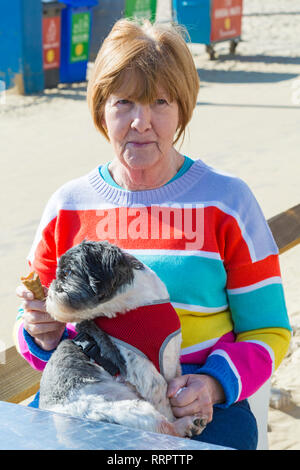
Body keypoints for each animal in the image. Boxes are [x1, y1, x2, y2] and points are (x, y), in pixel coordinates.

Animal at [39, 241, 205, 438]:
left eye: (68, 273)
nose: (51, 289)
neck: (136, 306)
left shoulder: (172, 356)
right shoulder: (143, 370)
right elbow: (163, 398)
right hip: (129, 410)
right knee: (166, 428)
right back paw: (185, 425)